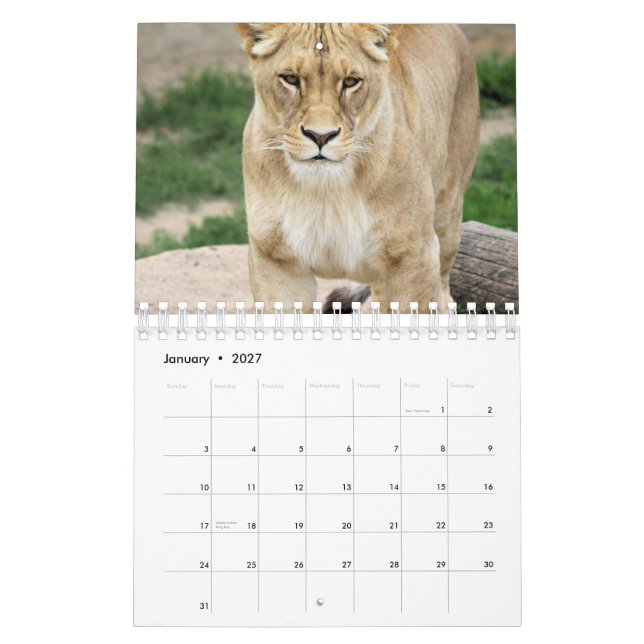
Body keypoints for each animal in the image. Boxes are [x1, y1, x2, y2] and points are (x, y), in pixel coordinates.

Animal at [235, 23, 480, 313]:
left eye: (351, 82)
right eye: (290, 79)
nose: (320, 136)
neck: (324, 191)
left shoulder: (414, 256)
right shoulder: (275, 258)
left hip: (447, 210)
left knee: (443, 284)